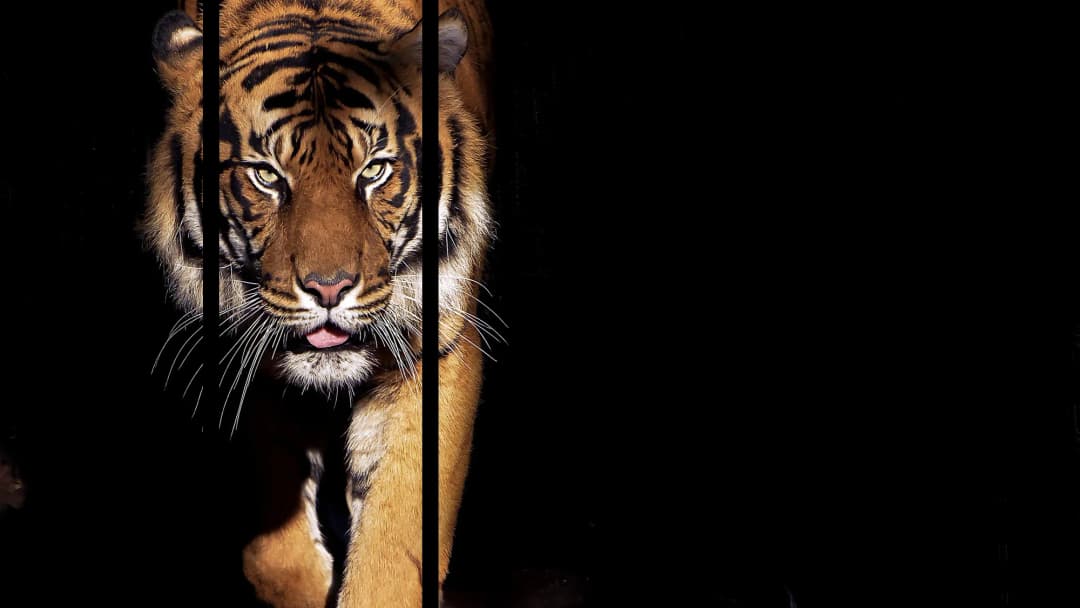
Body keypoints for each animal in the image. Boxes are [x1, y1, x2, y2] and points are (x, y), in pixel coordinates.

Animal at [143, 1, 494, 606]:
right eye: (266, 176)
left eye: (373, 170)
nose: (329, 288)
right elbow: (273, 536)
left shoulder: (437, 350)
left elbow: (395, 542)